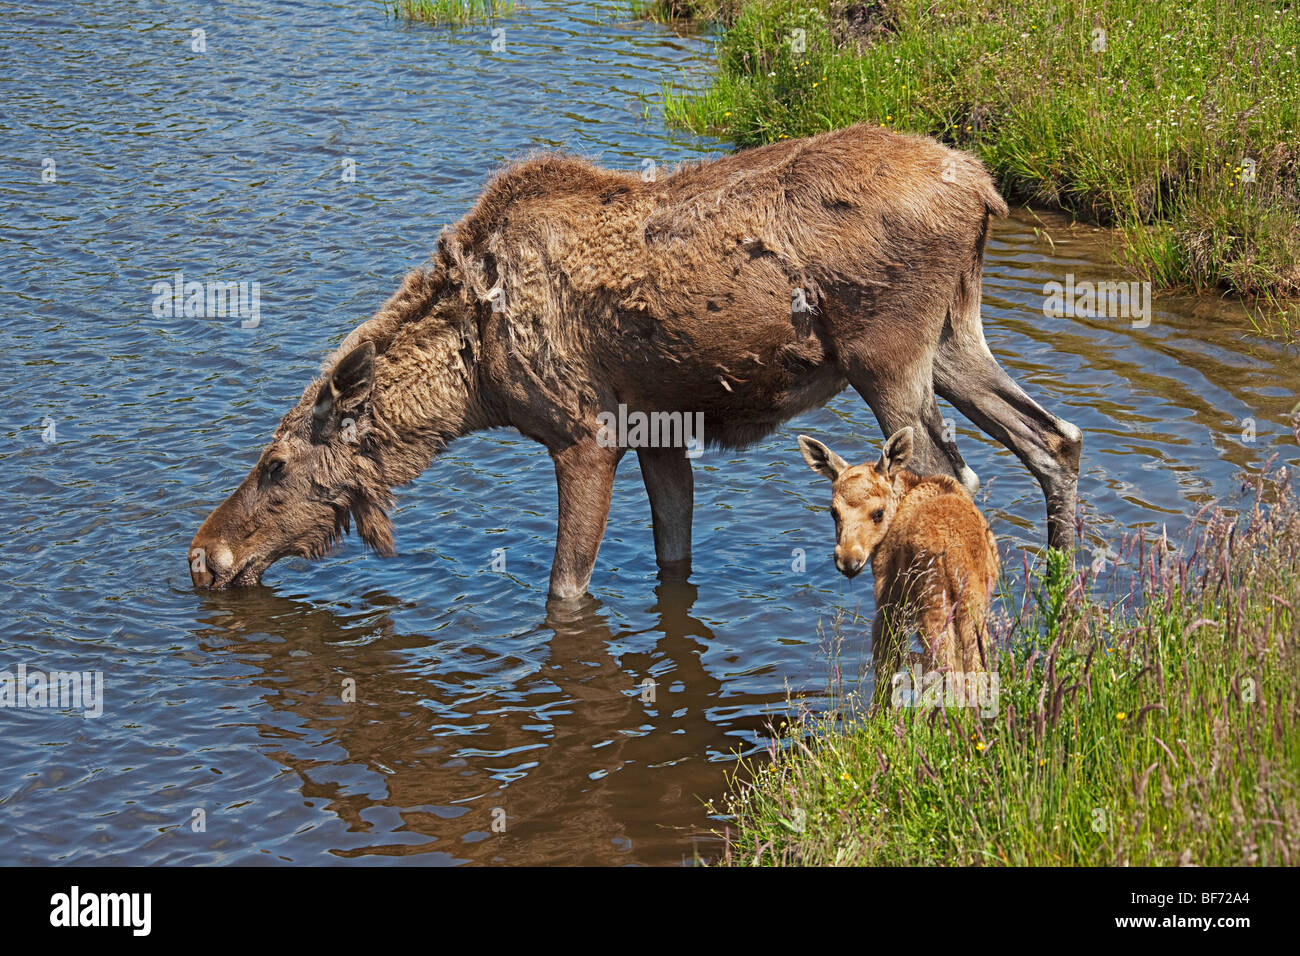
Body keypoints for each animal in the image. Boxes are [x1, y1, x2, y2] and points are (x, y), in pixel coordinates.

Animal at [189, 122, 1076, 598]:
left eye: (274, 466)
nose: (203, 555)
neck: (475, 380)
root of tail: (984, 190)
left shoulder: (586, 437)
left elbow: (564, 588)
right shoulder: (660, 431)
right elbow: (671, 556)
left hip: (886, 356)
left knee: (951, 477)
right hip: (953, 340)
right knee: (1053, 439)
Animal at [795, 429, 998, 686]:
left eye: (878, 513)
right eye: (833, 512)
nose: (848, 560)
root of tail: (953, 554)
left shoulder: (889, 596)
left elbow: (885, 666)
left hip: (933, 604)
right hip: (972, 605)